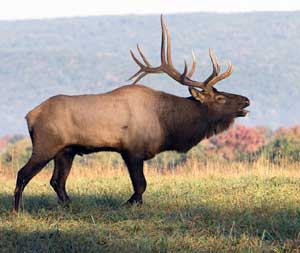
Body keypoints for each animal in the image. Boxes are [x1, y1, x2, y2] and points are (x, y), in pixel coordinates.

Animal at [12, 15, 250, 211]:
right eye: (220, 98)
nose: (246, 99)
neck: (168, 124)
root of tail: (29, 116)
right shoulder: (131, 150)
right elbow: (140, 185)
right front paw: (129, 203)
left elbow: (140, 185)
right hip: (46, 144)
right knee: (23, 174)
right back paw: (17, 209)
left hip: (66, 150)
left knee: (57, 181)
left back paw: (69, 205)